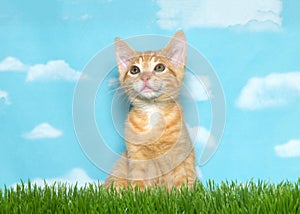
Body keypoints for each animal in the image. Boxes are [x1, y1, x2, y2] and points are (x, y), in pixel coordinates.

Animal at [104, 30, 196, 189]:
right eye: (134, 70)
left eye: (159, 67)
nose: (145, 77)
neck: (152, 110)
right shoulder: (135, 153)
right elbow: (138, 178)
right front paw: (138, 192)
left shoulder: (180, 150)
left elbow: (181, 177)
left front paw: (181, 192)